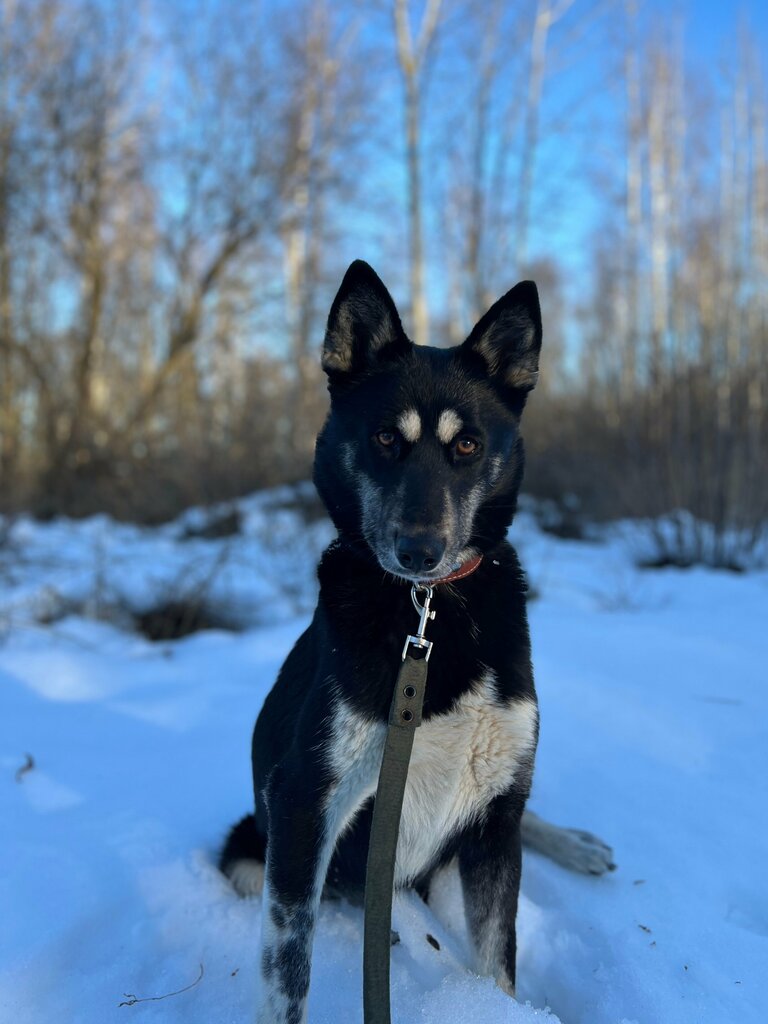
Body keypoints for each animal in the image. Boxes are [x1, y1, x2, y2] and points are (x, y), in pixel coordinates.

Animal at [219, 260, 618, 1019]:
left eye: (467, 445)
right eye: (384, 439)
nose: (419, 551)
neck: (428, 613)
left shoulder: (493, 816)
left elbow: (498, 963)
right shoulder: (306, 804)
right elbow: (289, 974)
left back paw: (577, 844)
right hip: (253, 846)